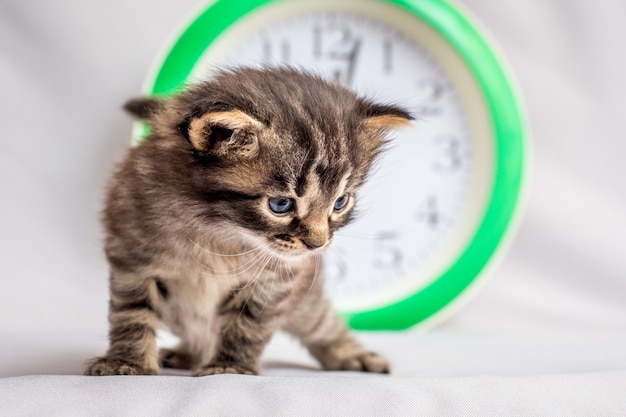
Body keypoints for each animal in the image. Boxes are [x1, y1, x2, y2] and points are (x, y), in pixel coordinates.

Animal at [85, 66, 412, 376]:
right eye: (280, 204)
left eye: (340, 202)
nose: (317, 244)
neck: (218, 231)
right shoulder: (132, 258)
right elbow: (131, 313)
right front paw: (128, 361)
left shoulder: (275, 281)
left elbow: (247, 324)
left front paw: (230, 365)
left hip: (306, 302)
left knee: (324, 326)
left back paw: (355, 355)